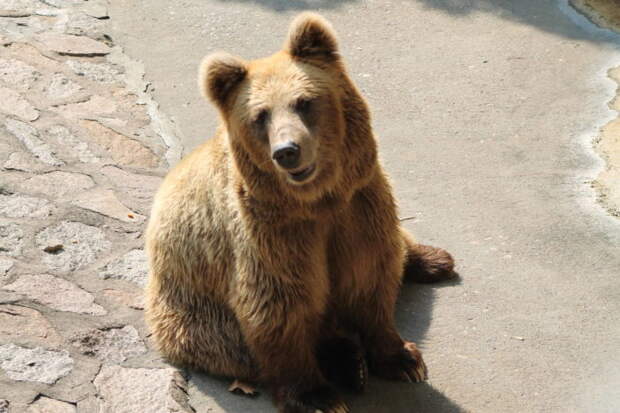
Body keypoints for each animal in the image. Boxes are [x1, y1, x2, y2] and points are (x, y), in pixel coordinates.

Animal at [145, 12, 456, 412]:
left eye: (304, 101)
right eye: (260, 115)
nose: (287, 151)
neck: (318, 200)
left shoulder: (359, 206)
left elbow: (371, 271)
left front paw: (402, 358)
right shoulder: (273, 232)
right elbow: (281, 304)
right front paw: (317, 395)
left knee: (398, 244)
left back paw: (434, 260)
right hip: (196, 318)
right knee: (235, 348)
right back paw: (346, 362)